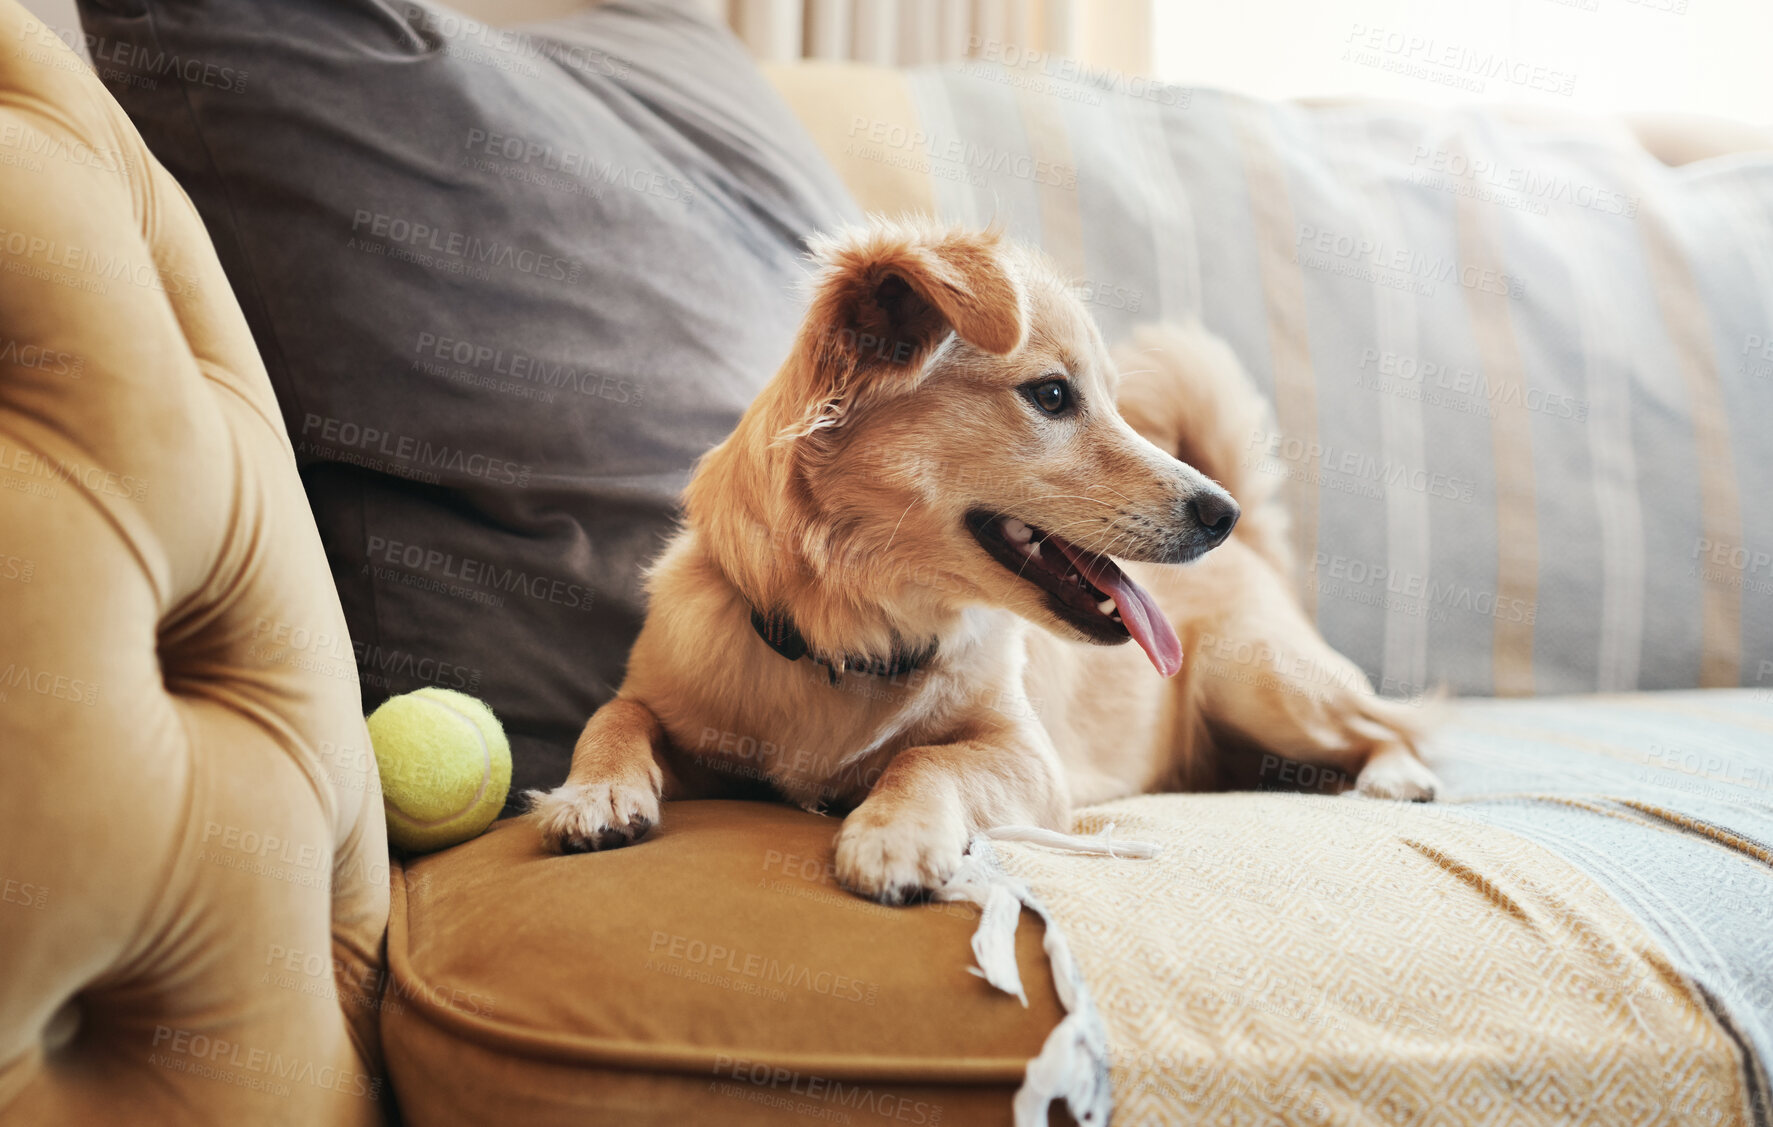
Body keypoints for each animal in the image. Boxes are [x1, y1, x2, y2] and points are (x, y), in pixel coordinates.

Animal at [524, 215, 1439, 903]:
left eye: (1107, 400)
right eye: (1051, 395)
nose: (1221, 512)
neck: (858, 633)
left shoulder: (1028, 758)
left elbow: (924, 755)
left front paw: (892, 832)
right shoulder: (677, 704)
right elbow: (615, 713)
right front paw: (594, 791)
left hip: (1259, 680)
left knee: (1392, 725)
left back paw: (1393, 778)